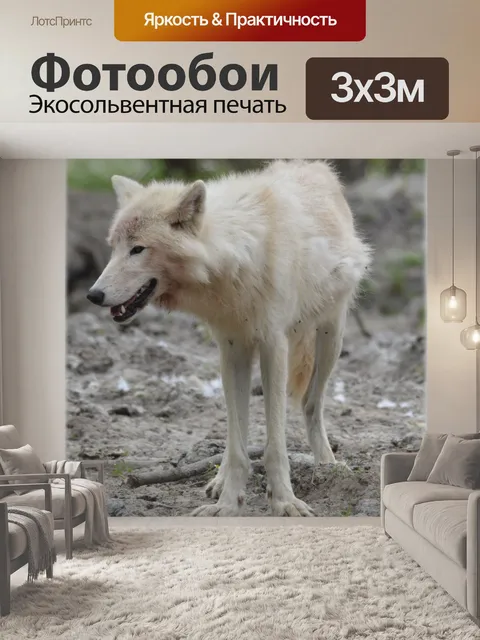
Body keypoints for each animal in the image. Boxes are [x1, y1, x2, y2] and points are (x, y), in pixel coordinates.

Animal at [87, 160, 371, 517]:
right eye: (114, 248)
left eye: (138, 249)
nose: (93, 295)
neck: (237, 257)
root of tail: (315, 166)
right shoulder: (232, 347)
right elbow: (237, 443)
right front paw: (227, 503)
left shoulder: (273, 345)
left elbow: (275, 444)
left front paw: (284, 501)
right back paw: (219, 481)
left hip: (332, 337)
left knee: (310, 403)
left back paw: (328, 465)